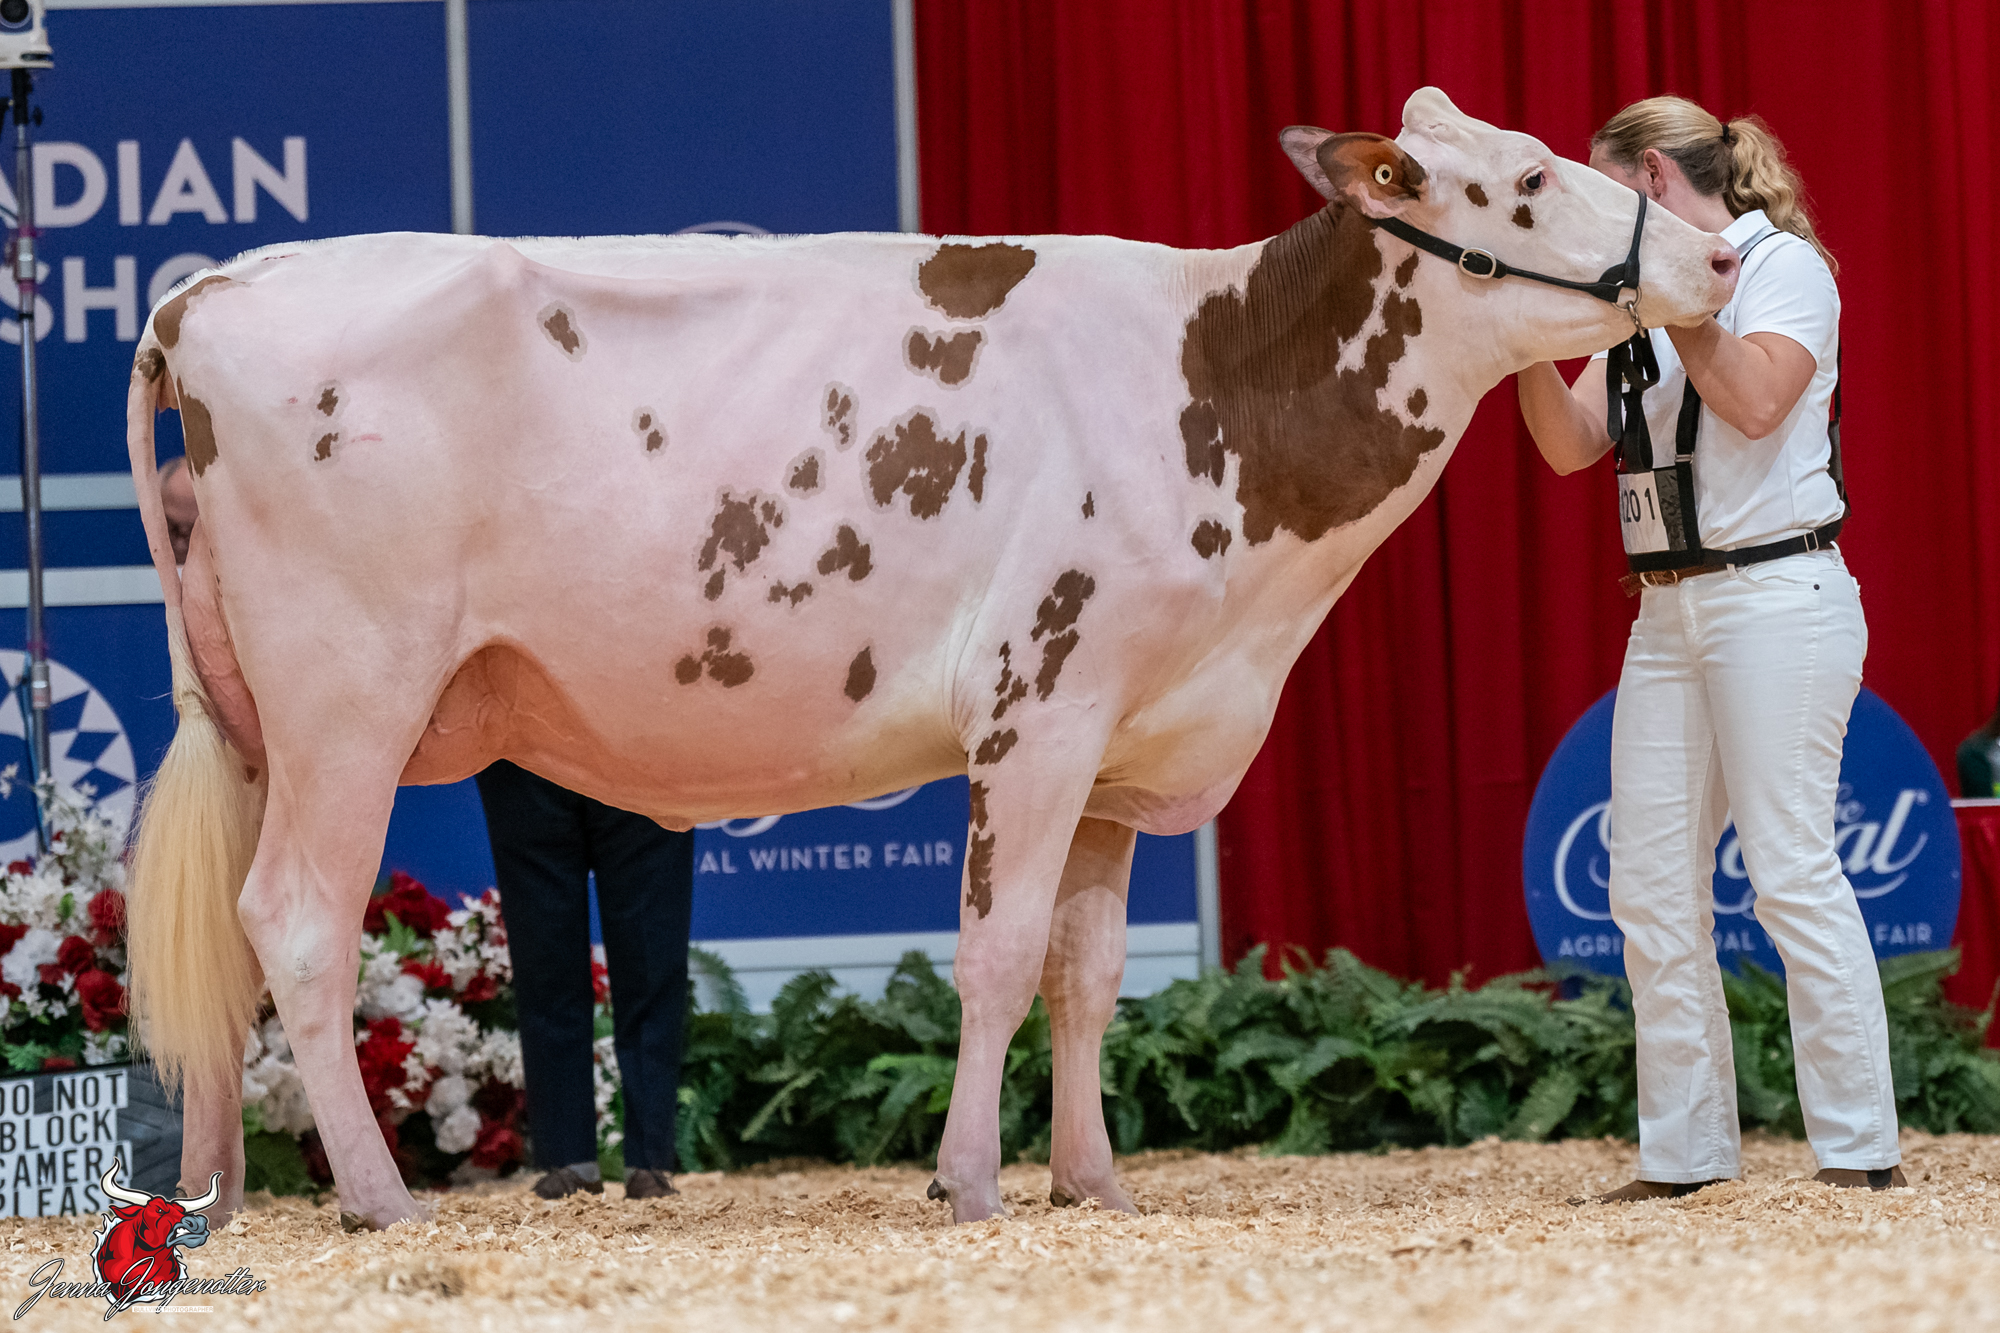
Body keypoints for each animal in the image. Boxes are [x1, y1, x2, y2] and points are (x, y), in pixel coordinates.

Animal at [121, 87, 1735, 1229]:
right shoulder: (1043, 705)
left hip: (254, 716)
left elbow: (1089, 972)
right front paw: (969, 1183)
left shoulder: (1124, 736)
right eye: (1527, 181)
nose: (1719, 255)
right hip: (351, 694)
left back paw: (218, 1199)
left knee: (224, 943)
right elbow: (1000, 955)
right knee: (297, 924)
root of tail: (208, 291)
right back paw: (377, 1196)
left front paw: (1095, 1182)